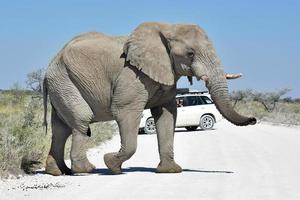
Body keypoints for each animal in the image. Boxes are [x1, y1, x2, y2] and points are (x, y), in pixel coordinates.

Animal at [43, 21, 256, 175]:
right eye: (190, 53)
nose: (253, 119)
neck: (168, 28)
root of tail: (50, 66)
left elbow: (167, 114)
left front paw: (170, 171)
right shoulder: (132, 75)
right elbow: (125, 111)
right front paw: (111, 164)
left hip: (61, 84)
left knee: (61, 128)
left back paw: (58, 172)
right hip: (64, 80)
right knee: (81, 119)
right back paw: (85, 170)